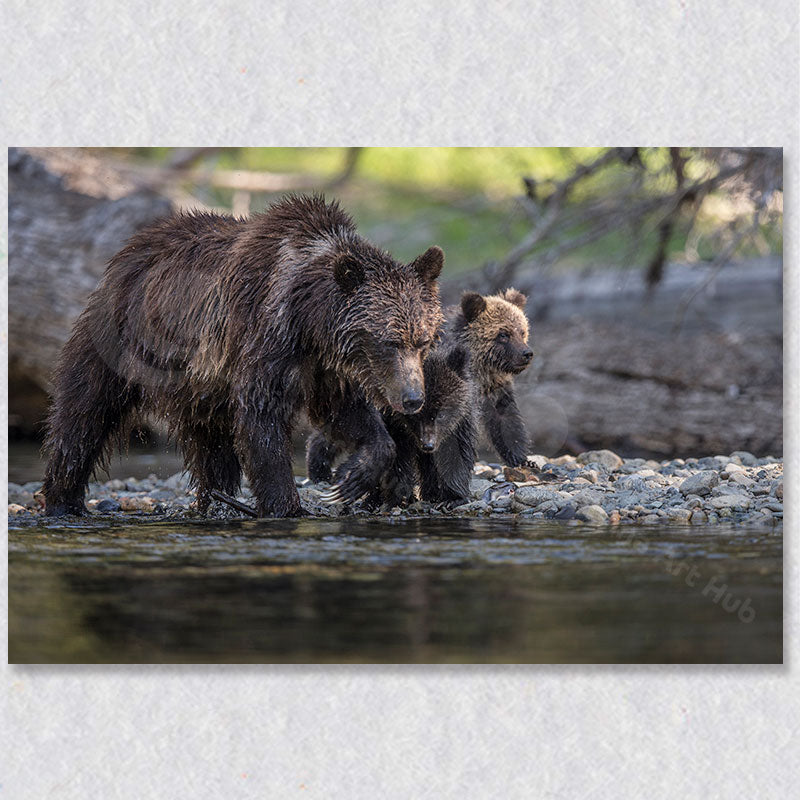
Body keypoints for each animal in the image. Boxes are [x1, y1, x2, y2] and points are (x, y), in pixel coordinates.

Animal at [42, 195, 444, 520]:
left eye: (422, 340)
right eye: (389, 341)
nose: (412, 398)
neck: (309, 321)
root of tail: (132, 247)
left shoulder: (326, 369)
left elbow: (345, 414)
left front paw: (352, 477)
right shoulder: (267, 340)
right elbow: (261, 422)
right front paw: (286, 506)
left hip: (199, 385)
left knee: (211, 445)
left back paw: (215, 499)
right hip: (119, 339)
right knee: (84, 412)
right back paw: (64, 500)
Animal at [446, 288, 536, 466]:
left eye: (522, 331)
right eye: (503, 334)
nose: (526, 353)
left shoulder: (495, 386)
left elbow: (505, 419)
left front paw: (523, 459)